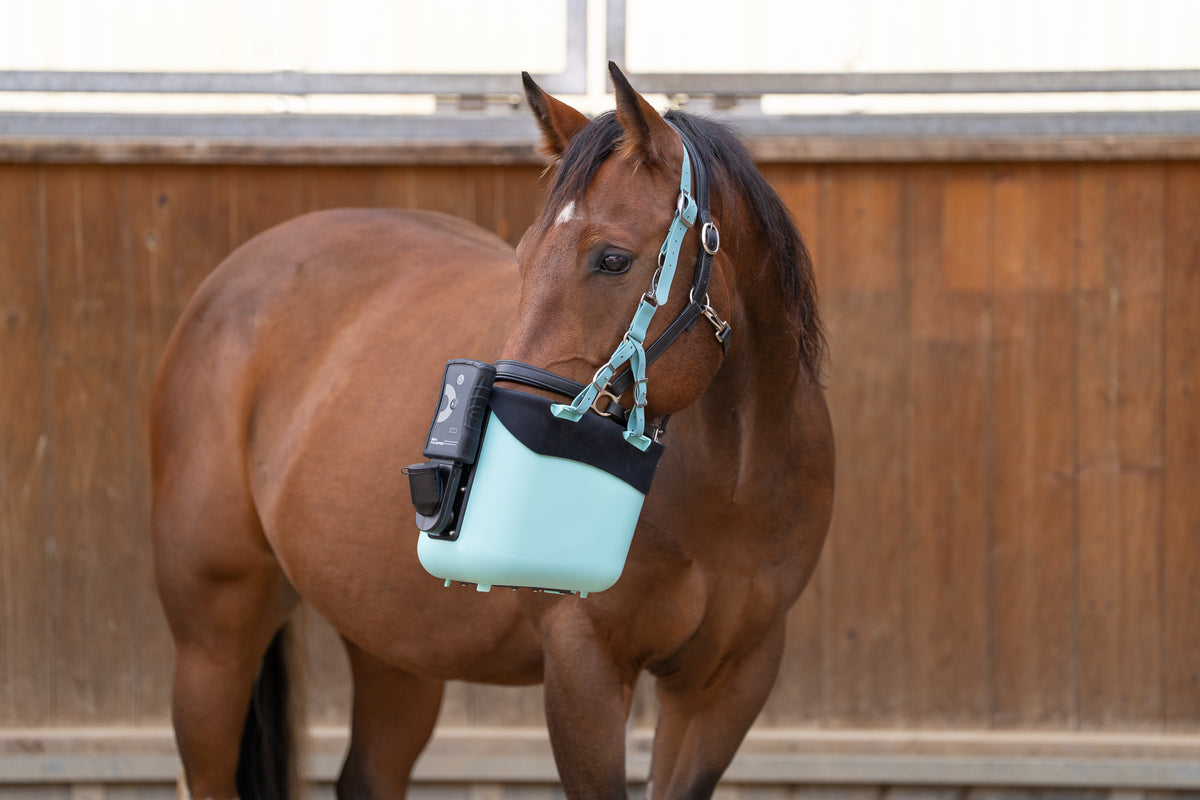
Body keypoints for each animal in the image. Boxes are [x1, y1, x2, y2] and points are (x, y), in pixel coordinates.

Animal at [151, 63, 834, 799]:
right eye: (525, 257)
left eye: (614, 259)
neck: (732, 483)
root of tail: (235, 276)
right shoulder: (584, 665)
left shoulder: (727, 681)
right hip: (213, 636)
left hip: (393, 643)